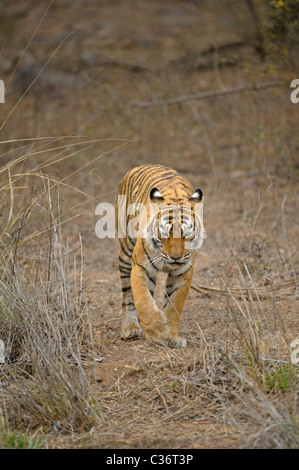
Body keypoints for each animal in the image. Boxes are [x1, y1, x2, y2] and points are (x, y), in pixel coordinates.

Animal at [116, 163, 205, 346]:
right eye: (165, 233)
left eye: (187, 234)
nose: (176, 258)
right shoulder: (140, 266)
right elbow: (143, 299)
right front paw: (157, 330)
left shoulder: (184, 273)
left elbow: (174, 306)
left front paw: (171, 336)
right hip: (126, 251)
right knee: (128, 294)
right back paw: (131, 329)